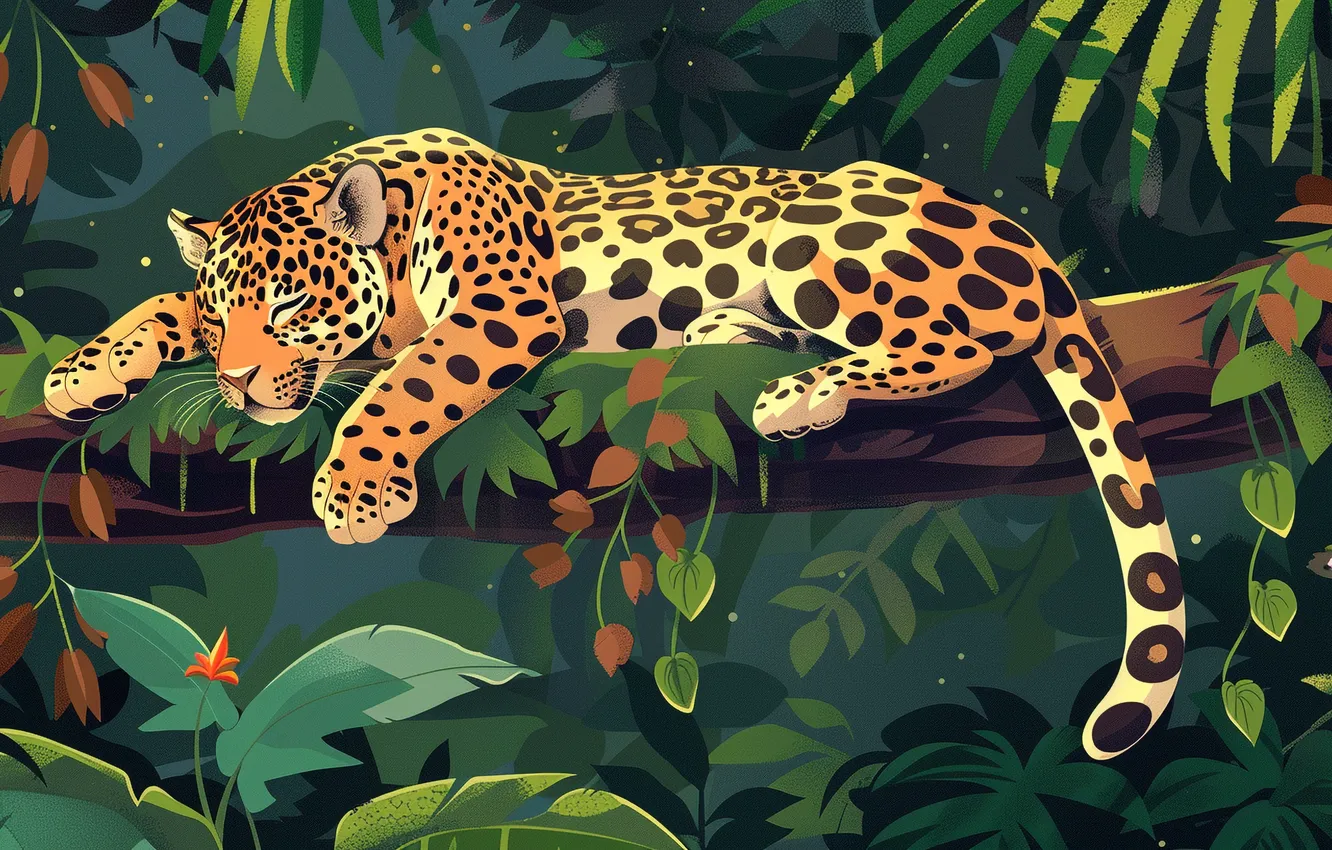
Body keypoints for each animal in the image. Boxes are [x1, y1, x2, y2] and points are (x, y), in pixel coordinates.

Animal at [42, 128, 1184, 760]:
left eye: (288, 306)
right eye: (229, 309)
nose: (238, 384)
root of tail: (1019, 234)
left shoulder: (499, 310)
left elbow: (408, 385)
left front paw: (358, 488)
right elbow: (161, 305)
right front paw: (84, 370)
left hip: (817, 234)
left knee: (972, 338)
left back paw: (802, 393)